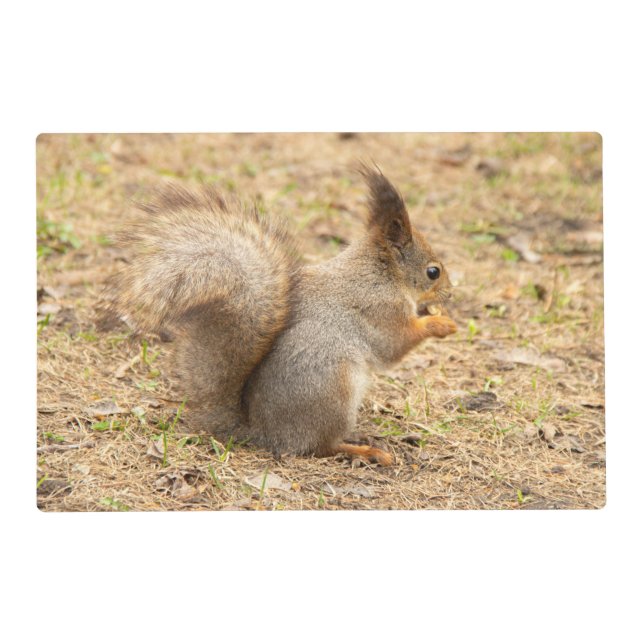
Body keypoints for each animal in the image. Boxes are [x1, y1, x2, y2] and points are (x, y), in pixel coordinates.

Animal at [103, 165, 457, 466]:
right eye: (433, 272)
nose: (450, 294)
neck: (380, 273)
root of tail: (263, 433)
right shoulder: (379, 309)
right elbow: (394, 345)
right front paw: (440, 323)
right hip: (333, 391)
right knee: (320, 447)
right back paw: (365, 450)